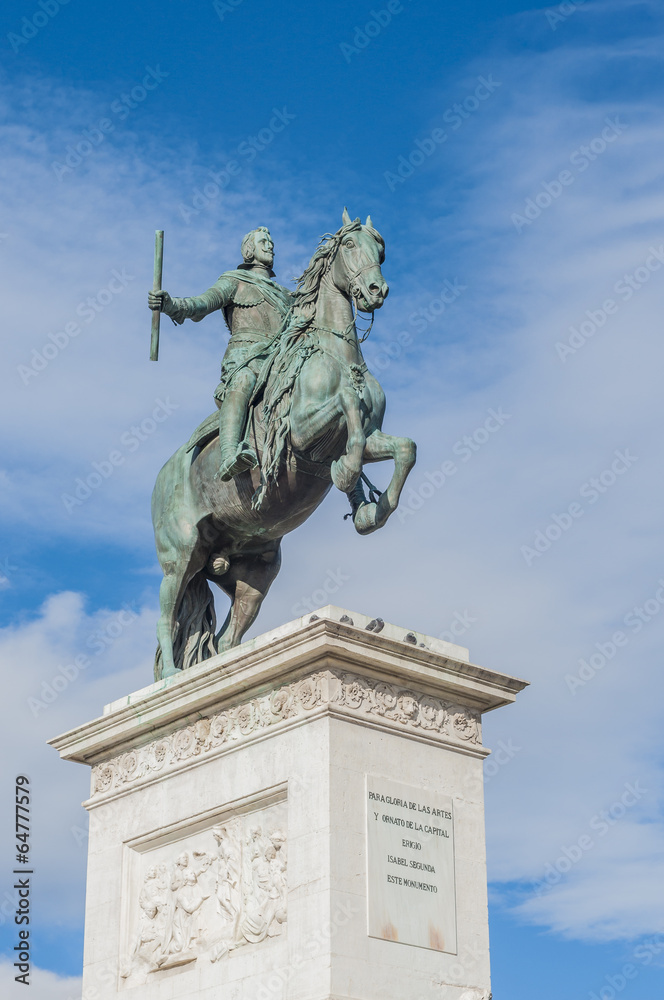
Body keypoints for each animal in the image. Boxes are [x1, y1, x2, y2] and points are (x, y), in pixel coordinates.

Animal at [153, 211, 418, 680]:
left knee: (226, 640)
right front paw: (346, 474)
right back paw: (170, 675)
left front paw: (371, 511)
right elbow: (347, 405)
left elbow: (405, 447)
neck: (335, 353)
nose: (376, 291)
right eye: (351, 246)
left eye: (381, 250)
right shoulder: (302, 434)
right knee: (166, 613)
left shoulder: (367, 439)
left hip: (254, 572)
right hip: (181, 555)